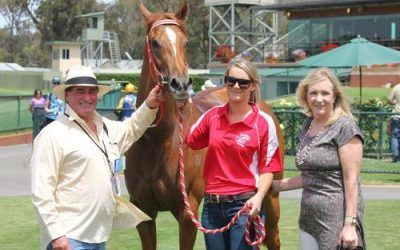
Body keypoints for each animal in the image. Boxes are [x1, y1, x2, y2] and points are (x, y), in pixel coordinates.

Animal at [125, 0, 284, 249]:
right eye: (155, 42)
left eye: (185, 42)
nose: (180, 84)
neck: (158, 141)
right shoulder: (143, 211)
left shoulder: (187, 212)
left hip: (270, 197)